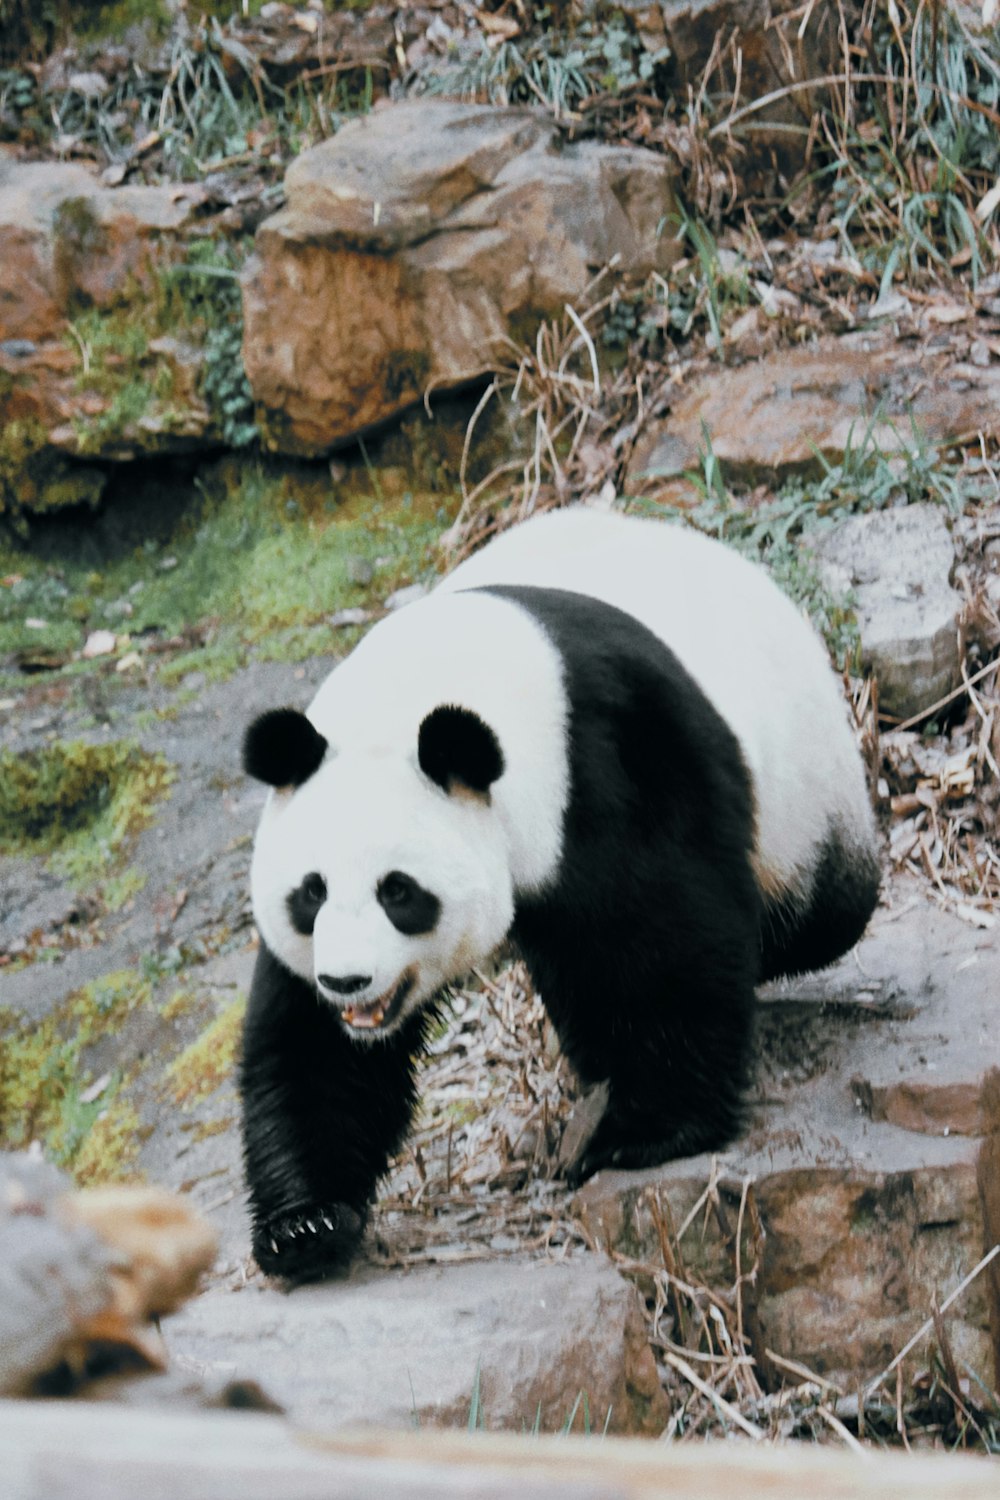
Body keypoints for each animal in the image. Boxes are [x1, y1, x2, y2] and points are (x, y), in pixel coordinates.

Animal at [238, 510, 881, 1284]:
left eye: (399, 891)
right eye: (311, 893)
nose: (348, 982)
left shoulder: (611, 758)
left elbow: (666, 943)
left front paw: (642, 1134)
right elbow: (312, 1051)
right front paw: (304, 1225)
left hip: (805, 795)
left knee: (818, 913)